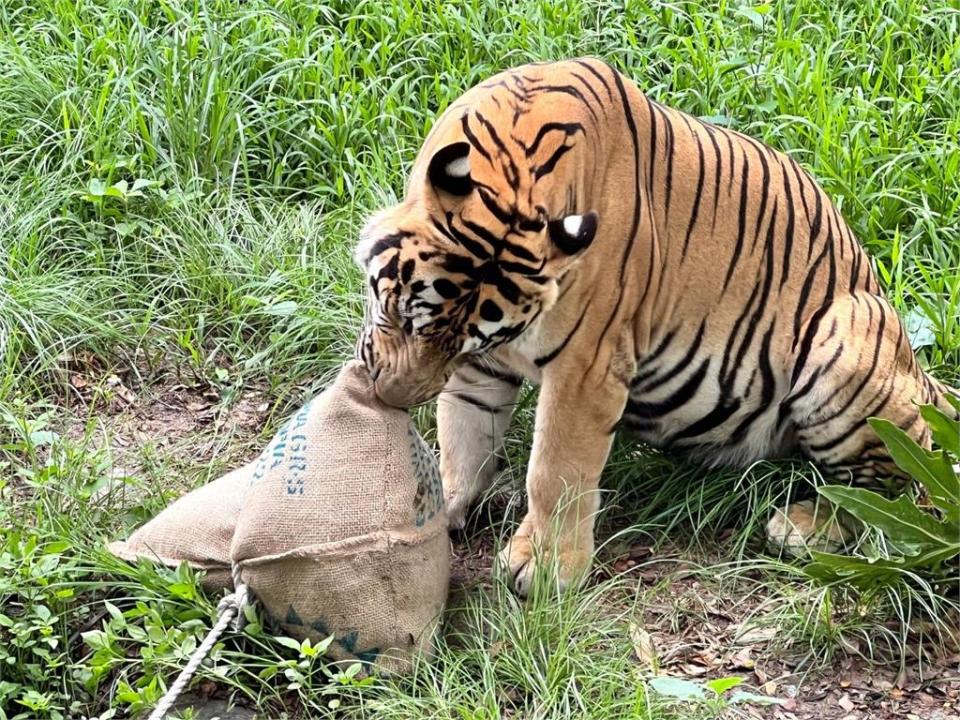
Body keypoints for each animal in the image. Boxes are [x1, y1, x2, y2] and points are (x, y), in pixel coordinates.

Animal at [354, 57, 960, 596]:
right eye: (403, 316)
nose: (390, 397)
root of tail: (922, 375)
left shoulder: (586, 368)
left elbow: (555, 469)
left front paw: (545, 568)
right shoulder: (481, 366)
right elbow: (463, 437)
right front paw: (436, 508)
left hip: (844, 343)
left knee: (894, 490)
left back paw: (804, 527)